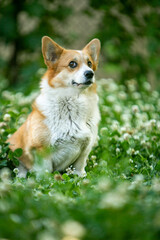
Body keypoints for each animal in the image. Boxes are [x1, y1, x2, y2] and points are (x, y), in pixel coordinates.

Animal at [7, 36, 100, 177]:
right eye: (72, 64)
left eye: (89, 63)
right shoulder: (43, 151)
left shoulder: (85, 150)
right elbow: (46, 174)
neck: (73, 104)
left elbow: (79, 170)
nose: (90, 73)